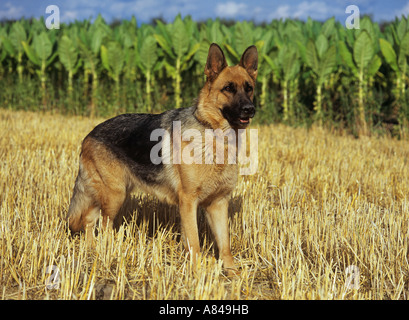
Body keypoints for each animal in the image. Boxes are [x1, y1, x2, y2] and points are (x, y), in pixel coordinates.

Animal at [67, 42, 258, 272]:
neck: (212, 133)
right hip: (114, 195)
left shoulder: (218, 204)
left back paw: (91, 250)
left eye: (249, 88)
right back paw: (107, 253)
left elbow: (225, 244)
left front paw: (232, 272)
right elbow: (194, 242)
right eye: (228, 88)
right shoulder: (188, 202)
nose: (250, 109)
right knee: (103, 226)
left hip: (108, 194)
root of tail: (90, 133)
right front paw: (197, 273)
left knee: (89, 220)